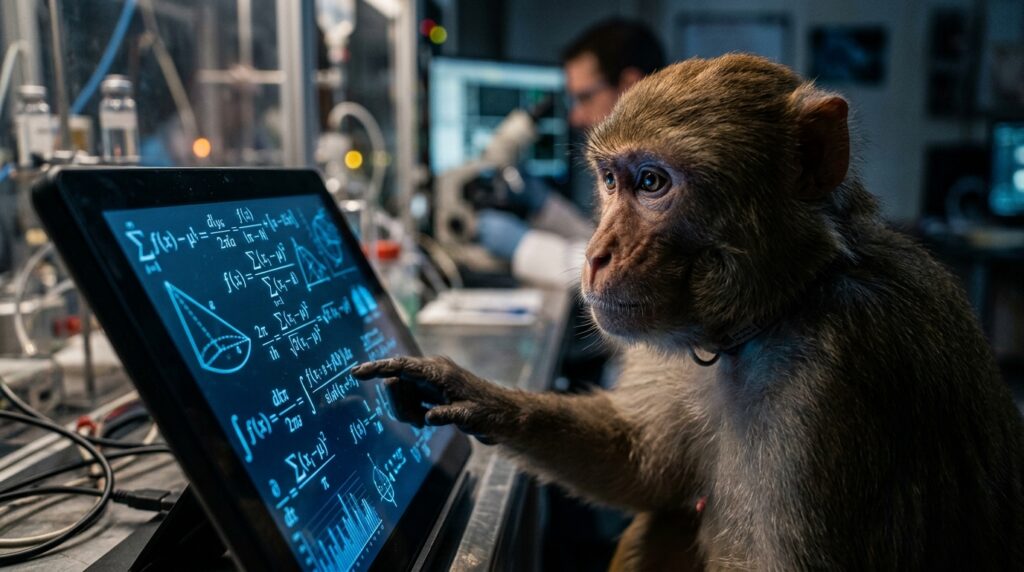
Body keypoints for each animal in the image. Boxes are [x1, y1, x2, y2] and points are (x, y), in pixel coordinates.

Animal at [354, 54, 1024, 570]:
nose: (594, 254)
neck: (781, 309)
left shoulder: (836, 380)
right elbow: (643, 466)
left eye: (652, 183)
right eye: (610, 181)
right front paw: (469, 391)